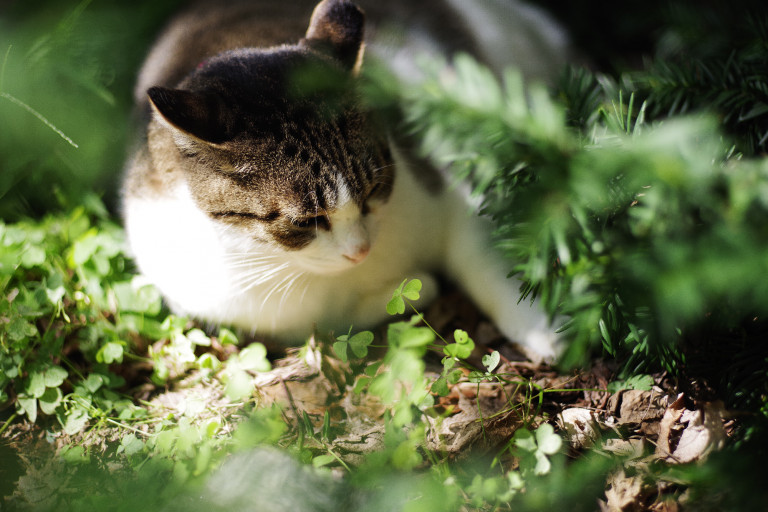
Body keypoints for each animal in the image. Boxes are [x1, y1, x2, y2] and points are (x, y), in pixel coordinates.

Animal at [121, 0, 568, 360]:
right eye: (304, 221)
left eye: (373, 190)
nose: (360, 251)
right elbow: (334, 322)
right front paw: (413, 288)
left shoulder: (441, 173)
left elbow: (484, 251)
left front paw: (539, 325)